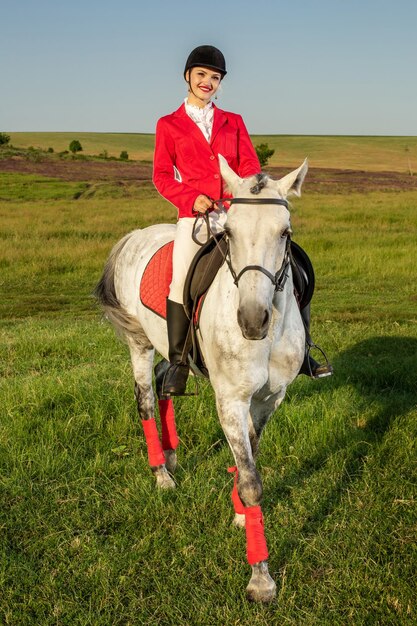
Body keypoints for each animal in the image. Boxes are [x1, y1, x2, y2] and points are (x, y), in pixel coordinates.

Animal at [95, 156, 308, 600]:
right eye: (229, 233)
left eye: (285, 233)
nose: (252, 320)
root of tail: (136, 235)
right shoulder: (230, 401)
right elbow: (251, 478)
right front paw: (260, 578)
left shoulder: (270, 399)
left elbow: (251, 457)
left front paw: (241, 514)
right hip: (140, 344)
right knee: (144, 398)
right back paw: (161, 474)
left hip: (169, 349)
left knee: (166, 381)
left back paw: (172, 455)